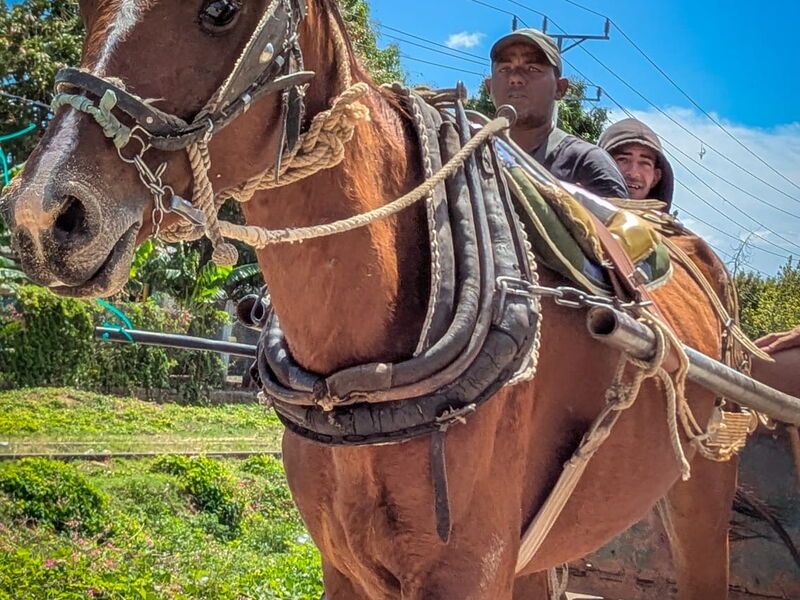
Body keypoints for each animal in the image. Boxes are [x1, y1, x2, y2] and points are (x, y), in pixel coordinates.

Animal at [0, 1, 743, 597]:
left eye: (219, 10)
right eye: (84, 6)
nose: (41, 215)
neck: (356, 381)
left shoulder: (470, 571)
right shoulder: (346, 568)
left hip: (703, 496)